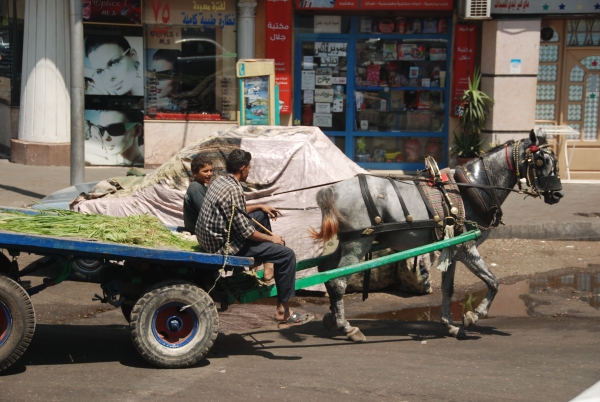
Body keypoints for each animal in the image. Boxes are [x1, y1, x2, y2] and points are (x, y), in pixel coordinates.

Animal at [312, 130, 564, 340]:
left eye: (555, 162)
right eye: (541, 161)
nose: (557, 194)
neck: (473, 187)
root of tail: (332, 189)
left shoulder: (451, 249)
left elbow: (448, 288)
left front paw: (450, 325)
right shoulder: (466, 248)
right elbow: (493, 282)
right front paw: (472, 316)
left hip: (347, 242)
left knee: (326, 270)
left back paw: (332, 316)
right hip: (359, 242)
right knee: (337, 280)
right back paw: (348, 327)